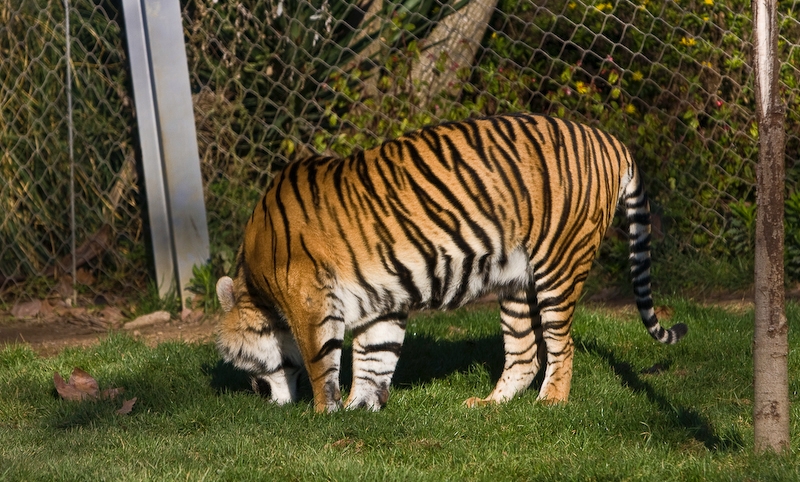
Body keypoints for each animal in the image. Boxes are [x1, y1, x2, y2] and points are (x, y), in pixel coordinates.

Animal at [215, 113, 687, 413]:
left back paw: (551, 403)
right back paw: (487, 406)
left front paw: (322, 414)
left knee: (560, 344)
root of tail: (612, 141)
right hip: (517, 283)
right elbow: (375, 357)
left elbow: (320, 362)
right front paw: (360, 409)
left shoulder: (310, 299)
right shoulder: (380, 301)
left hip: (558, 267)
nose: (260, 398)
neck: (257, 285)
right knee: (524, 353)